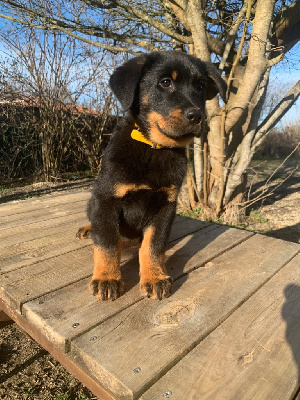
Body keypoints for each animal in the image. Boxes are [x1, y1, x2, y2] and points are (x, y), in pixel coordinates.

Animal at [76, 50, 226, 300]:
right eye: (165, 82)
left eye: (200, 86)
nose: (197, 116)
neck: (155, 148)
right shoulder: (106, 198)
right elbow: (106, 242)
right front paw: (107, 278)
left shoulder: (165, 205)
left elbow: (153, 245)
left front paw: (154, 277)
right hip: (93, 200)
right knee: (96, 222)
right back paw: (89, 229)